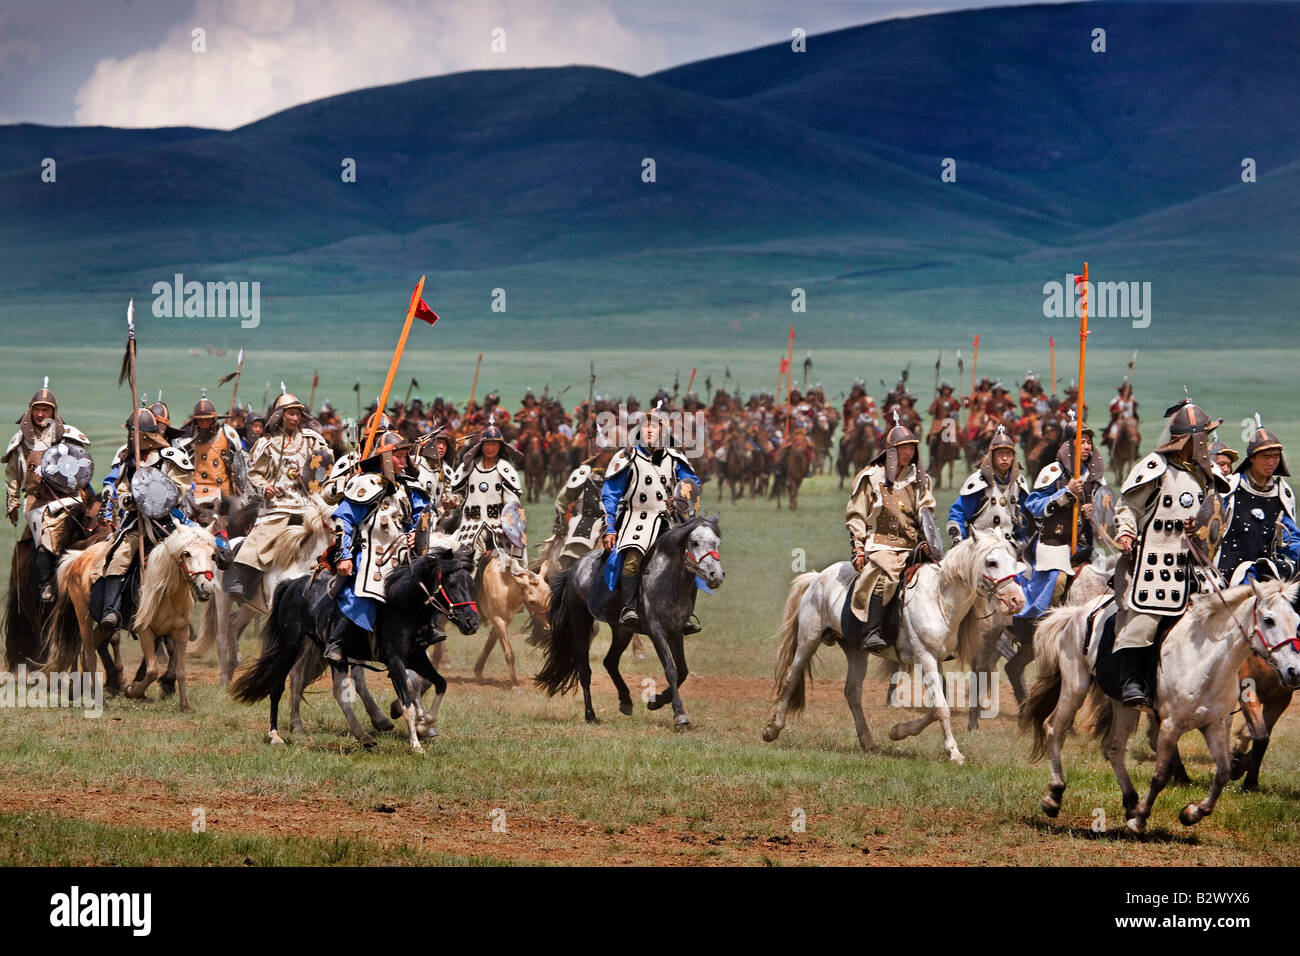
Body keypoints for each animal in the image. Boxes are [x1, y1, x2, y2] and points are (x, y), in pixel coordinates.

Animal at [231, 548, 480, 749]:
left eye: (470, 584)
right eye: (451, 584)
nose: (472, 623)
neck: (403, 608)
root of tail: (292, 584)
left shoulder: (417, 658)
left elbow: (440, 684)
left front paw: (425, 723)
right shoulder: (395, 660)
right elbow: (407, 702)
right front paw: (416, 743)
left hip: (333, 656)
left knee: (336, 692)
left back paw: (363, 736)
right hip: (290, 647)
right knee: (278, 687)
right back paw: (275, 735)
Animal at [533, 520, 728, 728]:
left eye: (717, 543)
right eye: (695, 542)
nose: (716, 575)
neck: (666, 580)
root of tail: (574, 568)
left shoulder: (675, 632)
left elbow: (683, 670)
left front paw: (656, 701)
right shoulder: (657, 632)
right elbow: (671, 669)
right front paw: (679, 714)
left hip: (622, 631)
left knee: (610, 661)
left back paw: (625, 701)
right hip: (580, 621)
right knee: (584, 669)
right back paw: (590, 715)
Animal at [759, 530, 1024, 764]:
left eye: (1014, 561)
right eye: (991, 562)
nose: (1017, 600)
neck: (939, 598)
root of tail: (816, 577)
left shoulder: (935, 659)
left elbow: (937, 705)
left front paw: (898, 731)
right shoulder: (925, 657)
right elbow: (941, 707)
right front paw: (954, 752)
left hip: (855, 650)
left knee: (852, 691)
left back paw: (869, 743)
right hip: (808, 639)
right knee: (791, 677)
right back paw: (772, 729)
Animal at [1024, 580, 1300, 832]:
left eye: (1296, 620)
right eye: (1268, 620)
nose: (1293, 671)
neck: (1203, 660)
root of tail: (1079, 612)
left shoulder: (1215, 724)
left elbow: (1223, 772)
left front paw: (1192, 813)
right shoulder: (1170, 725)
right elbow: (1160, 776)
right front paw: (1139, 820)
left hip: (1123, 704)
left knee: (1114, 747)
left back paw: (1130, 801)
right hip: (1075, 685)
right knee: (1053, 728)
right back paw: (1054, 796)